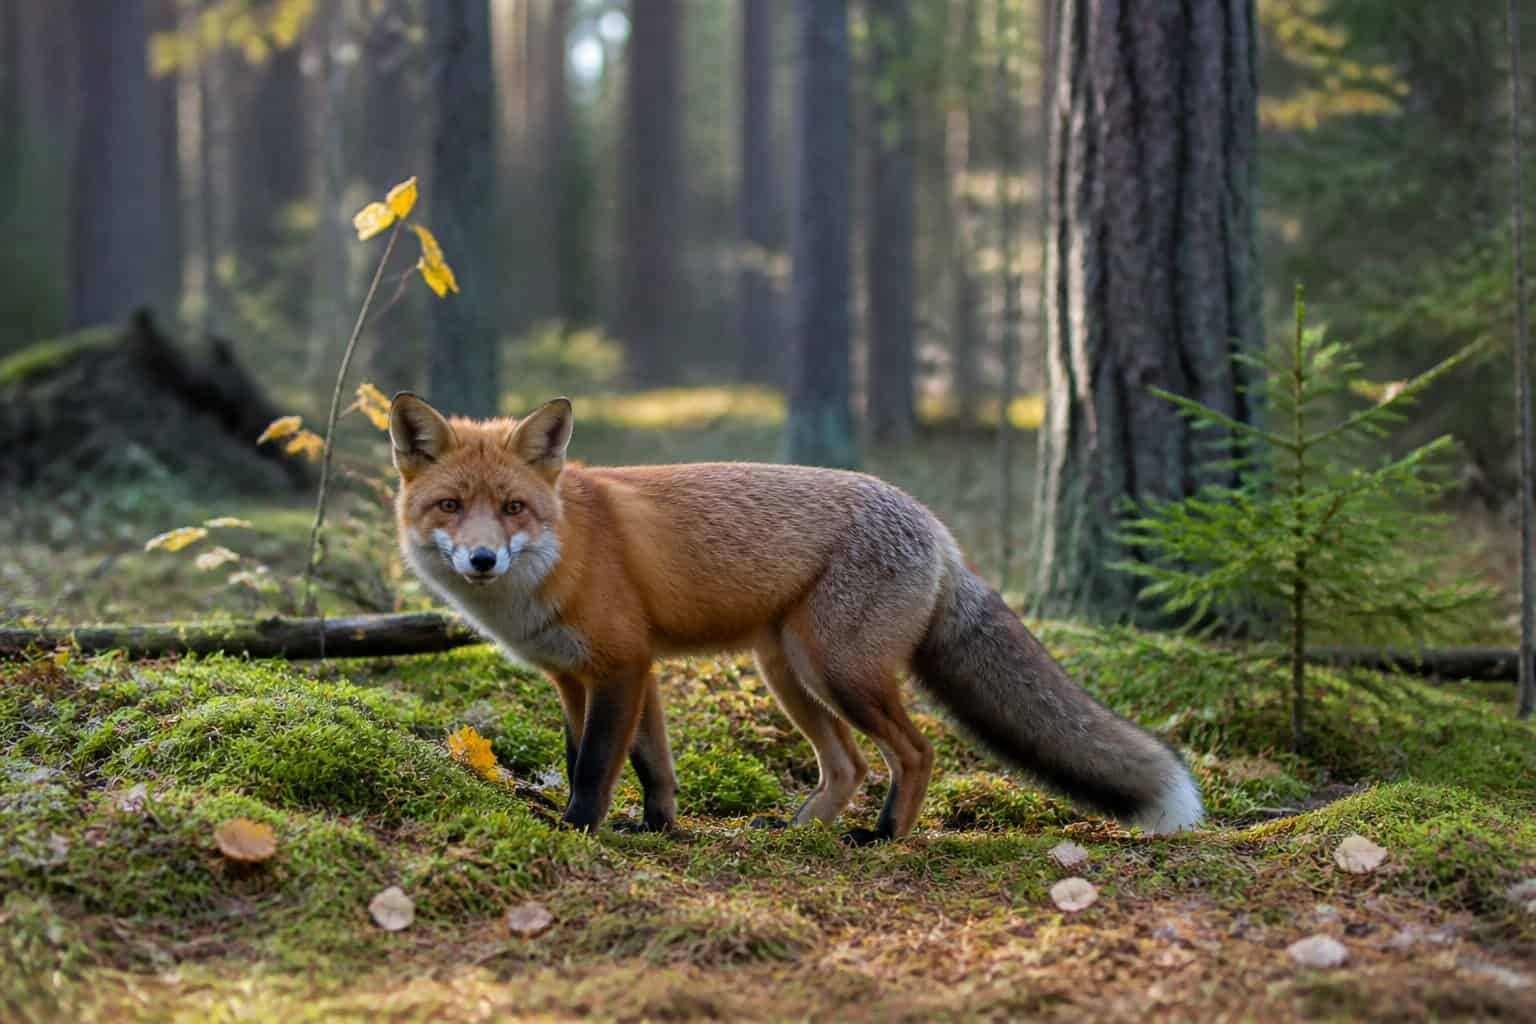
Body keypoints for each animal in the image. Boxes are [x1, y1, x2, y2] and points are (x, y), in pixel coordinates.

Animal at [388, 392, 1203, 843]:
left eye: (513, 508)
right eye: (450, 506)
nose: (482, 560)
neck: (564, 553)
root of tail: (934, 526)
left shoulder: (620, 664)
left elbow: (593, 764)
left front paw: (579, 829)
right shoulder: (586, 676)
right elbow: (651, 765)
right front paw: (658, 828)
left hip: (839, 671)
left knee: (914, 752)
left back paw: (884, 837)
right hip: (788, 672)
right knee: (846, 766)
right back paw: (799, 830)